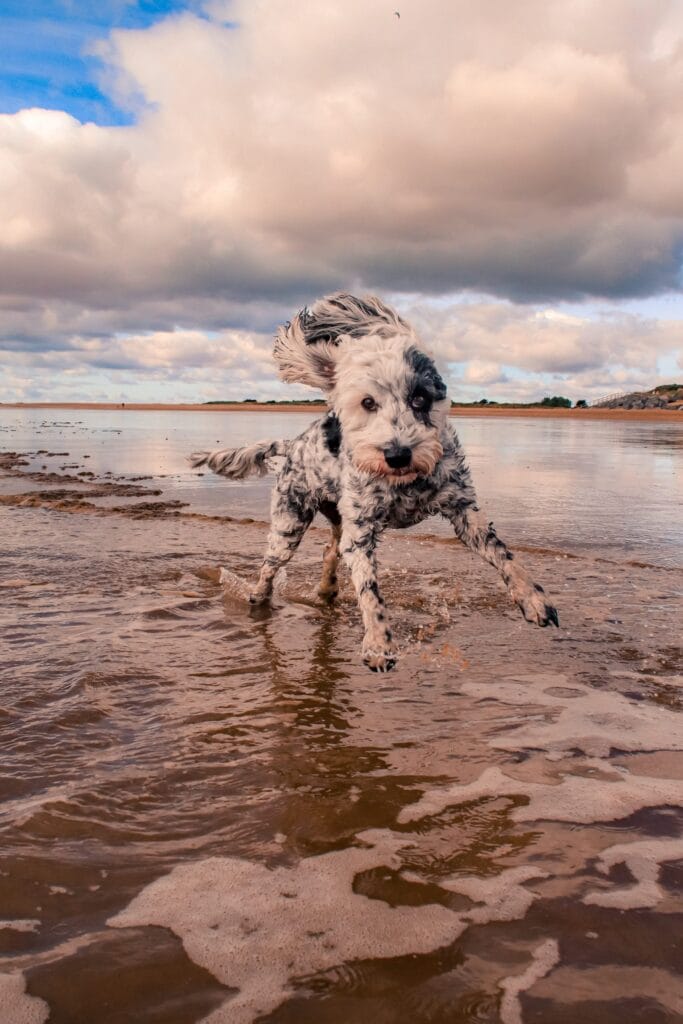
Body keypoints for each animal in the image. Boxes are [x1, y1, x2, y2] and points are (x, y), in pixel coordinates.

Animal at [189, 292, 557, 671]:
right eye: (368, 402)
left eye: (420, 397)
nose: (398, 454)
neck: (405, 483)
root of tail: (293, 445)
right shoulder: (361, 531)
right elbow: (369, 591)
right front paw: (378, 643)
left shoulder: (464, 511)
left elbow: (506, 557)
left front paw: (534, 600)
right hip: (289, 524)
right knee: (270, 567)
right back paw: (258, 597)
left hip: (336, 518)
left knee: (330, 549)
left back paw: (326, 589)